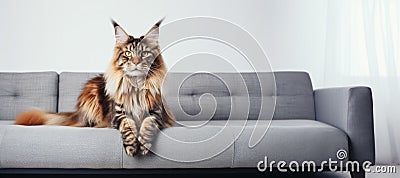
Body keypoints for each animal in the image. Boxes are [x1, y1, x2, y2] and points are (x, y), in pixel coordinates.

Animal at [14, 18, 174, 156]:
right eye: (128, 53)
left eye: (144, 53)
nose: (135, 62)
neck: (135, 86)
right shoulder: (118, 114)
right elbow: (128, 127)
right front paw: (132, 147)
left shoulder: (156, 113)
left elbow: (148, 125)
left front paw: (143, 145)